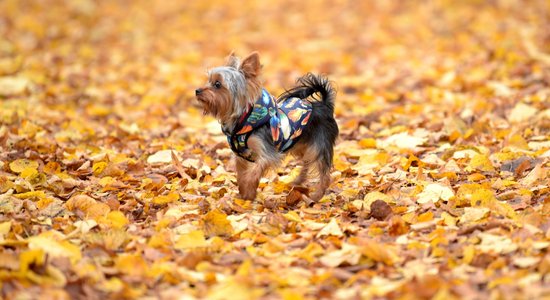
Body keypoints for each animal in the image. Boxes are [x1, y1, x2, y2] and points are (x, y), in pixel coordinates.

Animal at [196, 52, 338, 200]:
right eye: (208, 81)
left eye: (217, 84)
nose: (197, 90)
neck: (243, 120)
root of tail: (325, 105)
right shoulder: (241, 156)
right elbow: (241, 175)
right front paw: (244, 194)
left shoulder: (268, 154)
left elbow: (254, 172)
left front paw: (248, 192)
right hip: (301, 144)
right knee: (307, 163)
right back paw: (297, 181)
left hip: (318, 146)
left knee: (324, 174)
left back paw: (316, 196)